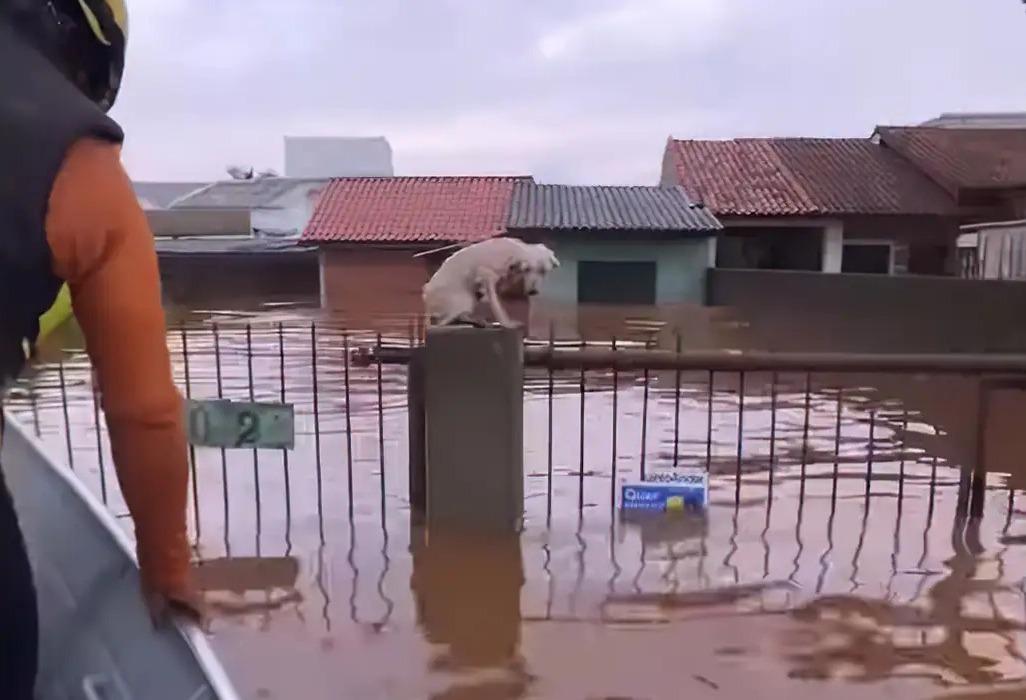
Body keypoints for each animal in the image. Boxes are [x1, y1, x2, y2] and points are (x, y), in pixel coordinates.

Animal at [420, 237, 558, 326]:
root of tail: (426, 295)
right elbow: (496, 304)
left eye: (543, 271)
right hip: (462, 299)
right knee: (443, 321)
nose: (533, 291)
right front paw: (507, 323)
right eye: (527, 269)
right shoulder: (486, 274)